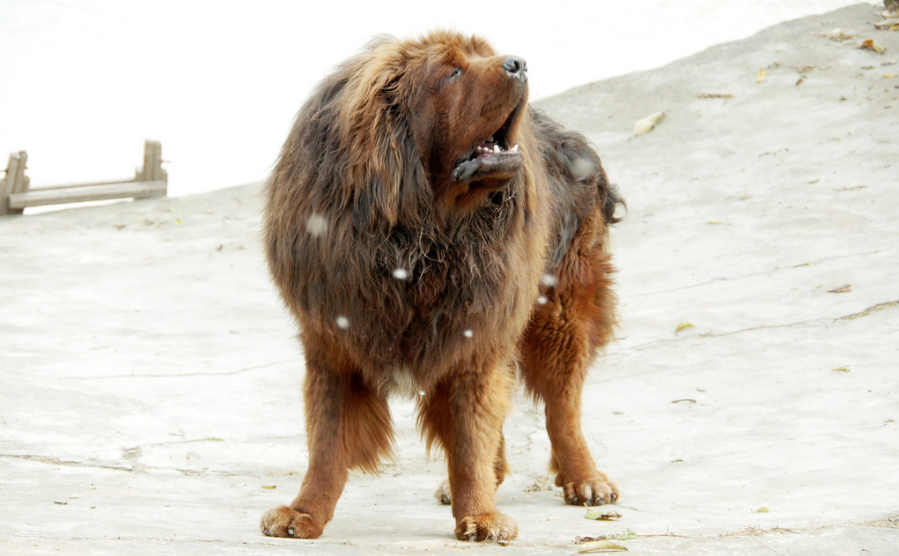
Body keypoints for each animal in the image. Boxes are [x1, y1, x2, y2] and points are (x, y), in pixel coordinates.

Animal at [262, 31, 624, 544]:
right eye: (451, 72)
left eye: (482, 56)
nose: (519, 63)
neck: (420, 234)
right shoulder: (334, 342)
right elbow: (327, 442)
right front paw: (303, 512)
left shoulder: (477, 334)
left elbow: (472, 436)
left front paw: (481, 516)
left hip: (561, 311)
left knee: (562, 407)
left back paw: (585, 479)